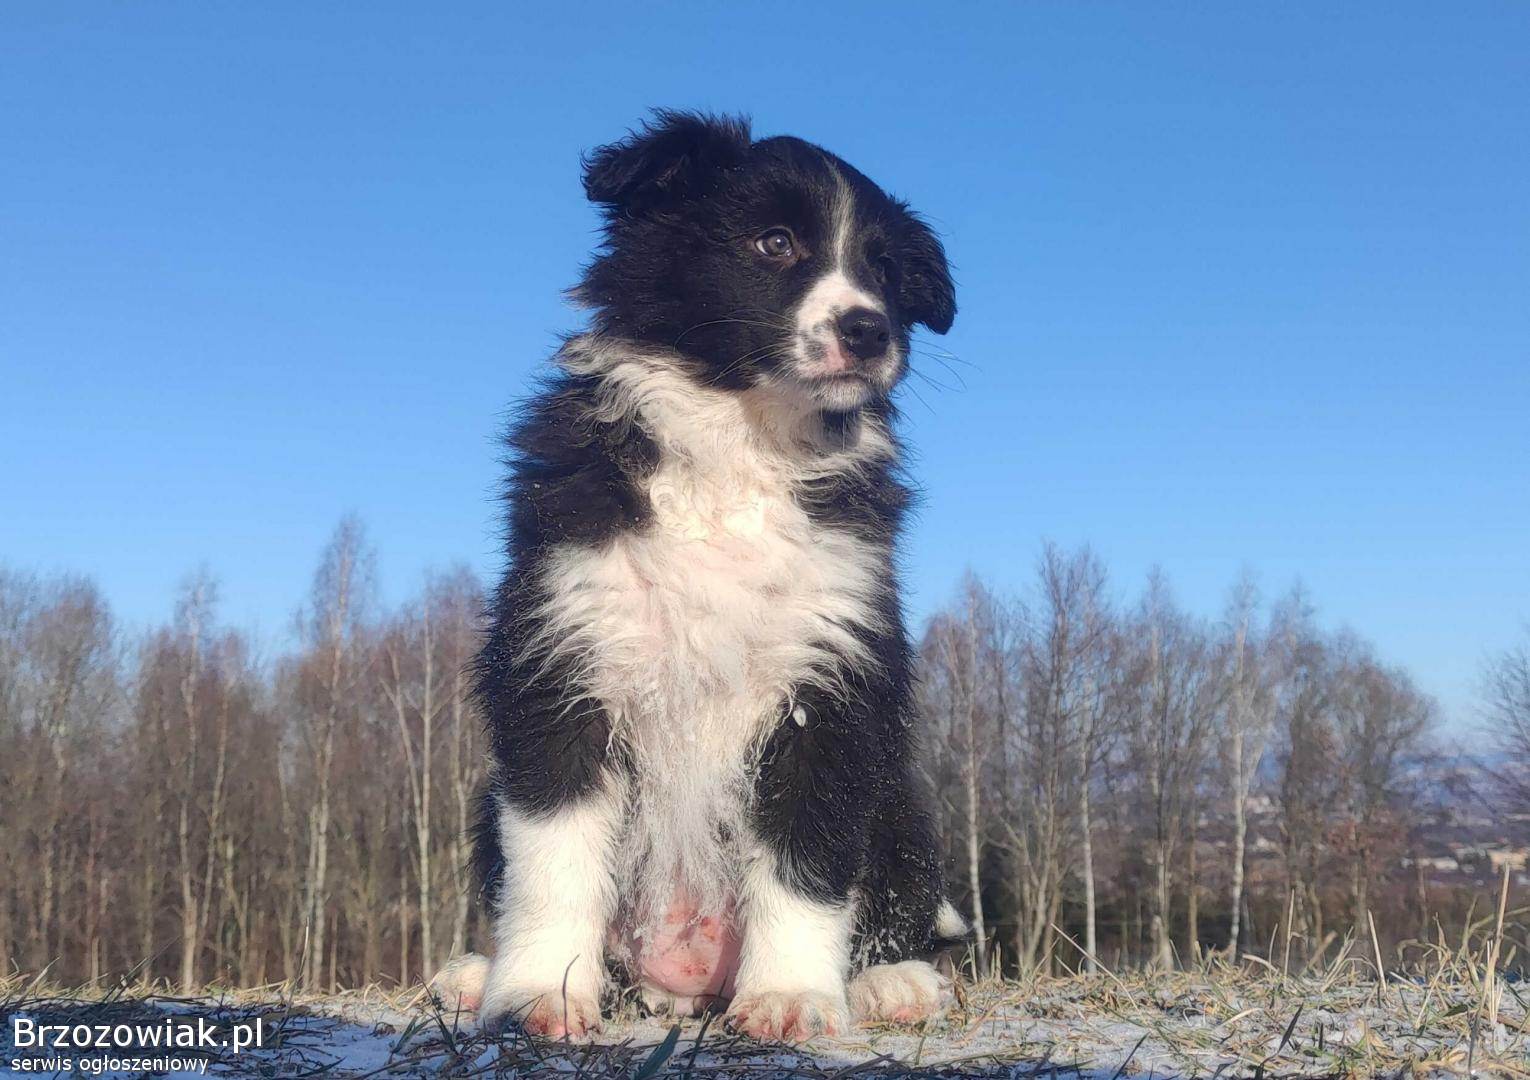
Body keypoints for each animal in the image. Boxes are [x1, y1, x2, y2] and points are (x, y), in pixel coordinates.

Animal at [439, 111, 967, 1042]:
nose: (870, 330)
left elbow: (806, 855)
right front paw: (540, 992)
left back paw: (889, 983)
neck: (739, 444)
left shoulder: (832, 682)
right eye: (774, 242)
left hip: (901, 804)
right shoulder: (560, 656)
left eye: (886, 273)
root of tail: (682, 982)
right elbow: (553, 852)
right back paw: (477, 975)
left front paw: (790, 996)